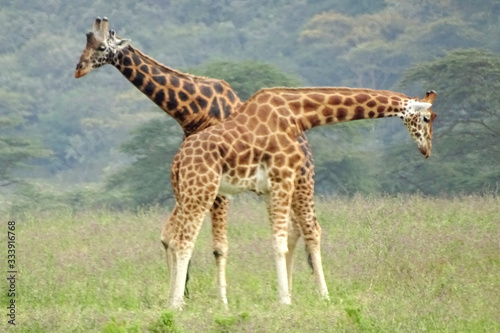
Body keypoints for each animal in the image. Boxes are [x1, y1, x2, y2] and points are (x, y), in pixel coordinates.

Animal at [162, 86, 436, 308]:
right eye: (426, 117)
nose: (427, 150)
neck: (298, 116)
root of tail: (177, 161)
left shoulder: (270, 188)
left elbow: (282, 240)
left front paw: (285, 296)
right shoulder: (283, 178)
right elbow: (280, 243)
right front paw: (286, 301)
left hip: (184, 193)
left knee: (172, 238)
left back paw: (175, 300)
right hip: (202, 190)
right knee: (184, 241)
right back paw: (176, 304)